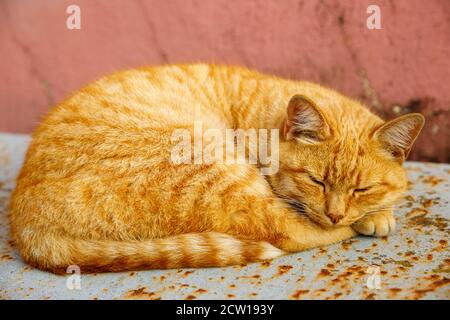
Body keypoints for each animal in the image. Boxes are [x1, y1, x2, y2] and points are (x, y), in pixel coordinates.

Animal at [7, 63, 426, 274]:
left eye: (361, 188)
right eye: (315, 181)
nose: (336, 213)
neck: (264, 120)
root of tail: (25, 223)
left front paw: (379, 211)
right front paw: (369, 219)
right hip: (212, 164)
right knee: (285, 231)